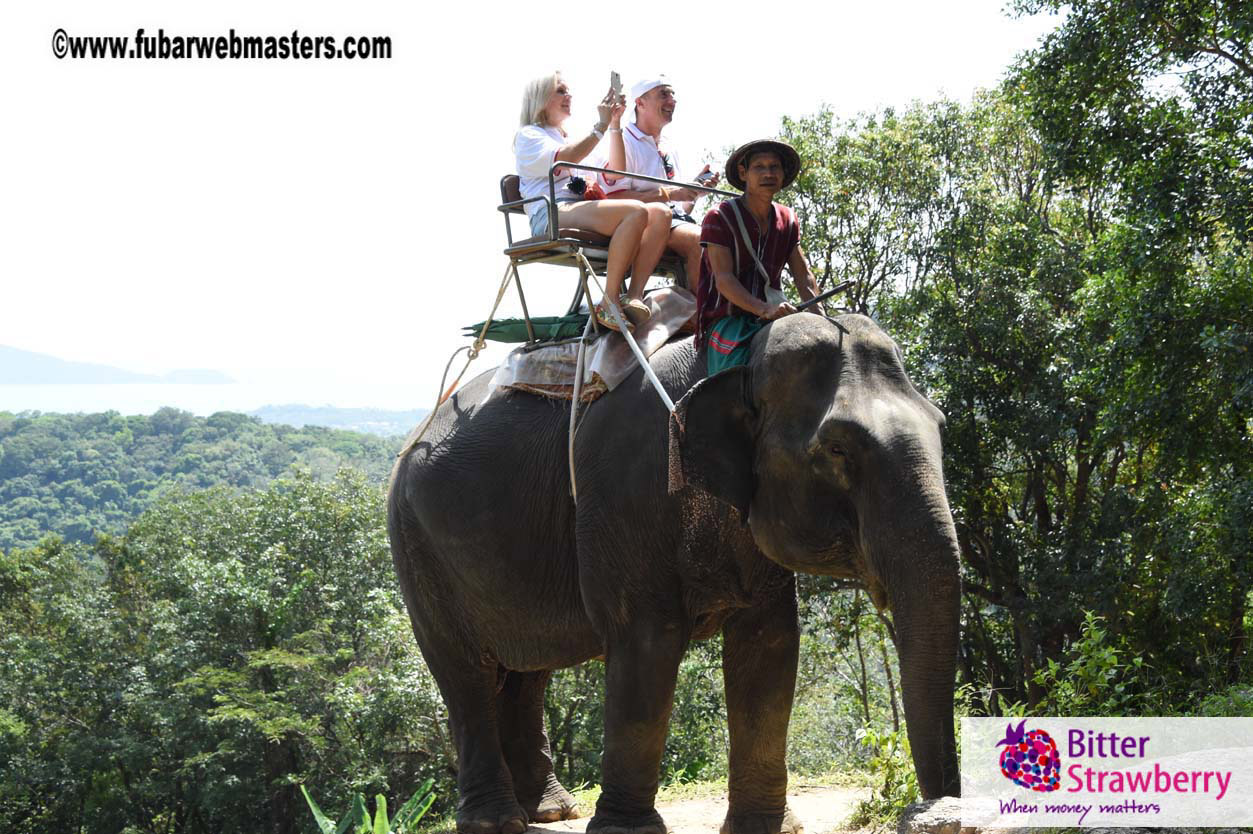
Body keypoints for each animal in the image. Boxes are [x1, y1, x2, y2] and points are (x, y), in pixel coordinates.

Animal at [387, 312, 960, 834]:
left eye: (940, 425)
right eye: (837, 449)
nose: (934, 815)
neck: (739, 358)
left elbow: (769, 648)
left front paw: (765, 827)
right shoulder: (626, 493)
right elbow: (648, 643)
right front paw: (627, 831)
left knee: (529, 672)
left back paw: (551, 811)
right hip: (415, 547)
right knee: (465, 672)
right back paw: (496, 822)